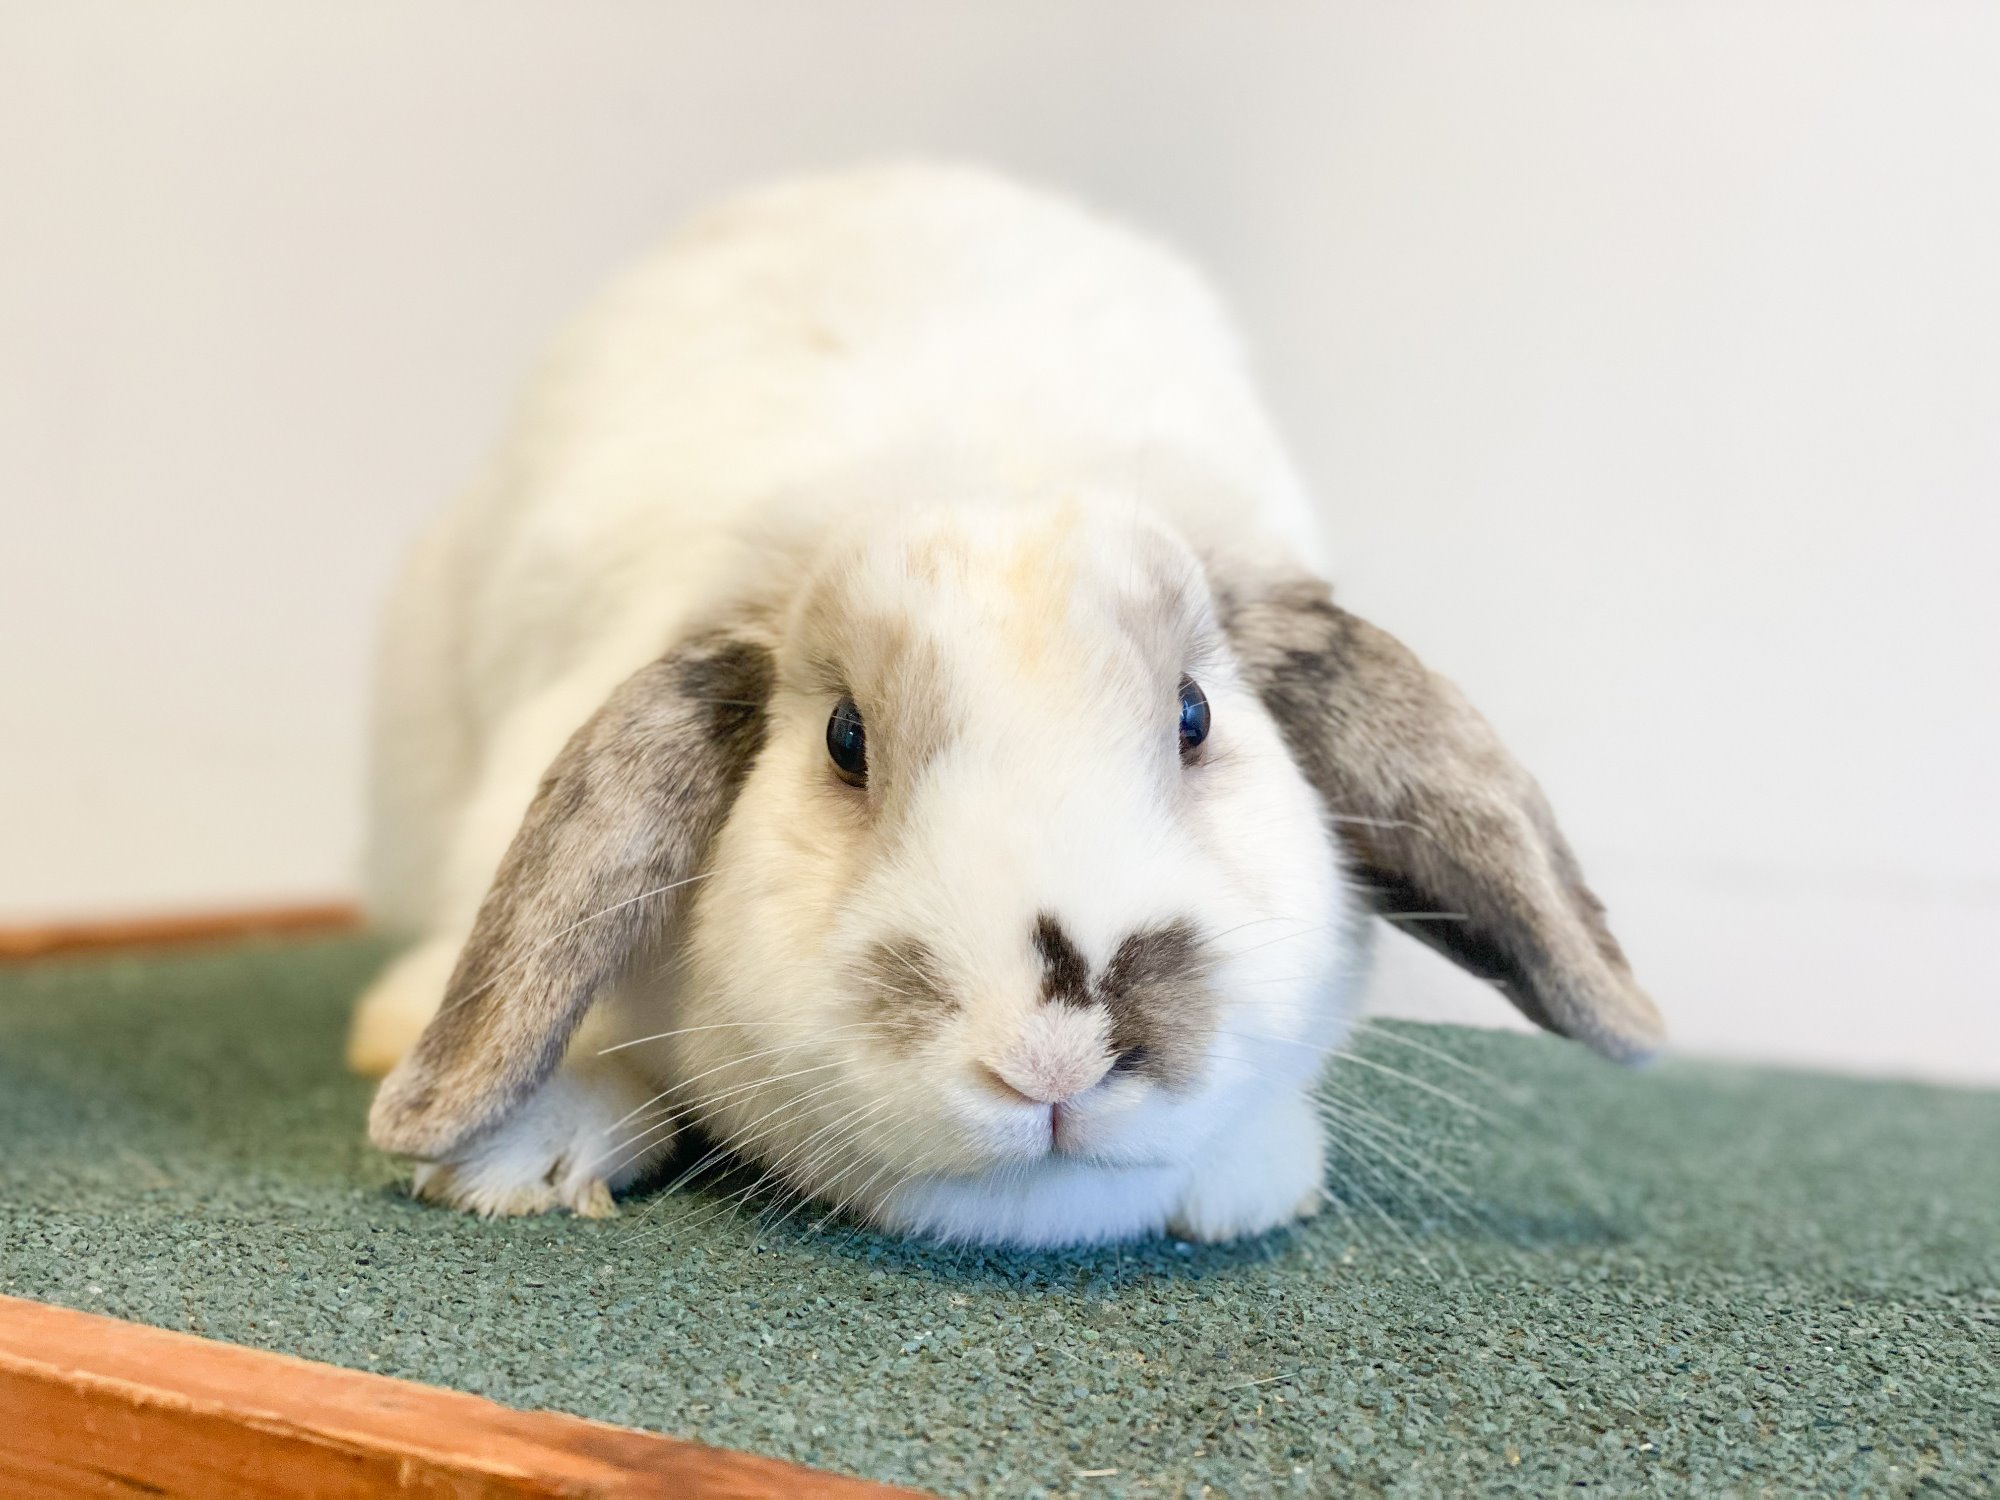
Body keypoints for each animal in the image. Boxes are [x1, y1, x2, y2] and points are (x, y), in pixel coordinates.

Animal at [353, 163, 1663, 1247]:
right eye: (844, 740)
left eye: (1193, 716)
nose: (1055, 1057)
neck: (987, 477)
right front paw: (525, 1157)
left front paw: (1255, 1177)